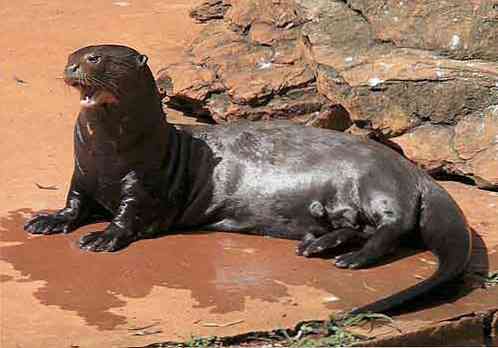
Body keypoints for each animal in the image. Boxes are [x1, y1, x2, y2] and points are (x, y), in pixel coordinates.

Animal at [25, 44, 472, 314]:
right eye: (73, 54)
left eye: (96, 58)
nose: (71, 67)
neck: (110, 157)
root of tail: (416, 172)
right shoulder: (82, 174)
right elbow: (73, 203)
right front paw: (47, 220)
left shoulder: (147, 183)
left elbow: (131, 215)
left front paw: (103, 236)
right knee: (357, 226)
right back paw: (319, 245)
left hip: (374, 181)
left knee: (390, 227)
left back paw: (351, 258)